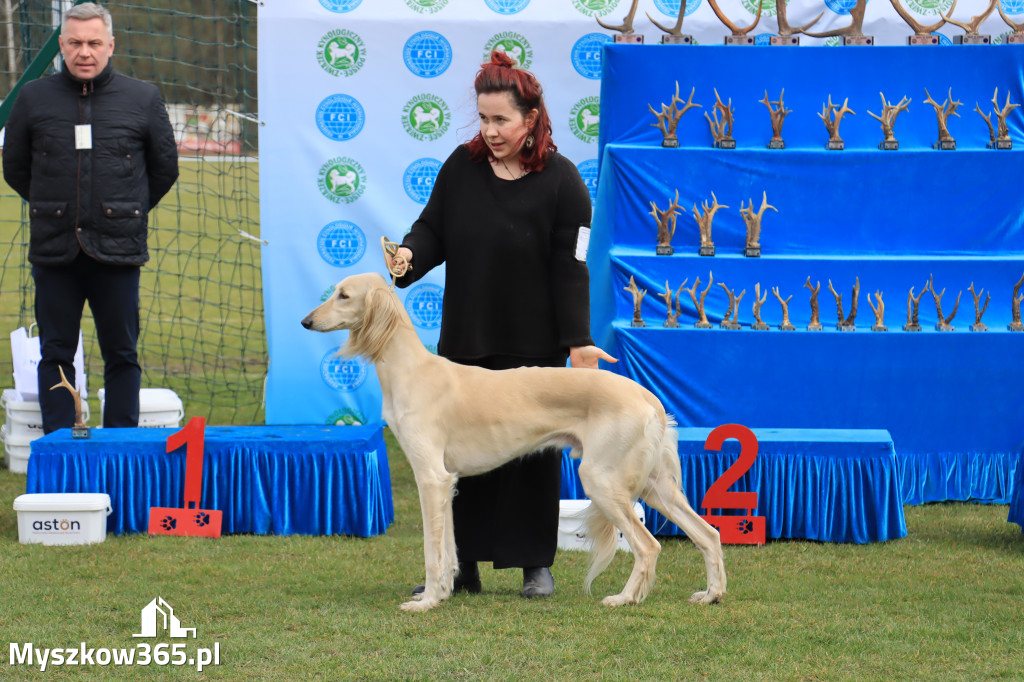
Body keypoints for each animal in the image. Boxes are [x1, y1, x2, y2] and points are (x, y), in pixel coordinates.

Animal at [299, 270, 724, 610]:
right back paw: (711, 594)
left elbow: (431, 551)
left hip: (603, 480)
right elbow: (449, 549)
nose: (306, 321)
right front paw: (442, 593)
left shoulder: (430, 477)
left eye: (344, 295)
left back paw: (624, 598)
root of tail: (649, 398)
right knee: (708, 533)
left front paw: (427, 602)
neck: (412, 370)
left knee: (649, 546)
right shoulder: (447, 481)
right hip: (655, 486)